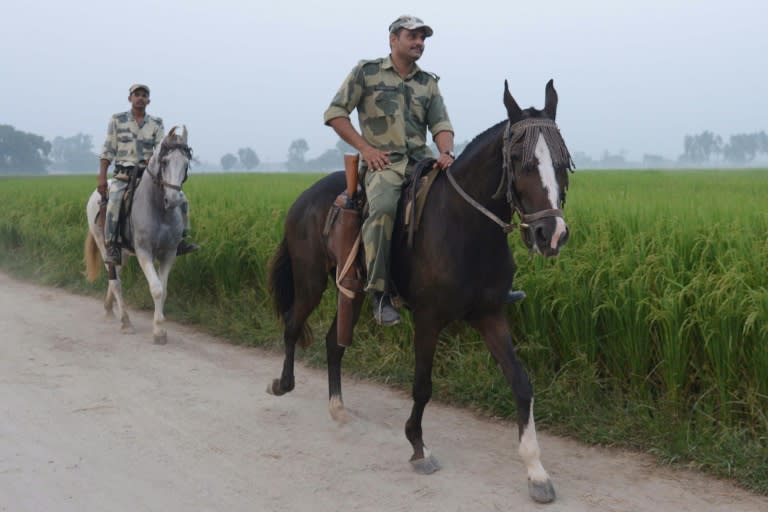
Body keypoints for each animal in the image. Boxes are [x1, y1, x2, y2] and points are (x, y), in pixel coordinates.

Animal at [83, 126, 190, 346]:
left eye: (186, 164)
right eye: (165, 162)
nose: (173, 200)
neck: (159, 209)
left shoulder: (169, 253)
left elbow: (164, 290)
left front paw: (160, 328)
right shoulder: (143, 251)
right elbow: (156, 288)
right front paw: (159, 331)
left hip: (122, 252)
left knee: (116, 275)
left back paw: (109, 309)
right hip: (104, 245)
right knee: (115, 282)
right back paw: (125, 322)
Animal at [268, 81, 572, 504]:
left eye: (563, 161)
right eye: (518, 159)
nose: (551, 235)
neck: (467, 228)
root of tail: (303, 198)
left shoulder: (490, 315)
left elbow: (521, 384)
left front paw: (536, 471)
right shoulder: (429, 319)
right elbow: (423, 386)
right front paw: (417, 447)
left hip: (354, 291)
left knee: (333, 342)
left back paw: (338, 408)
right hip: (310, 279)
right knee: (293, 324)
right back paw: (283, 384)